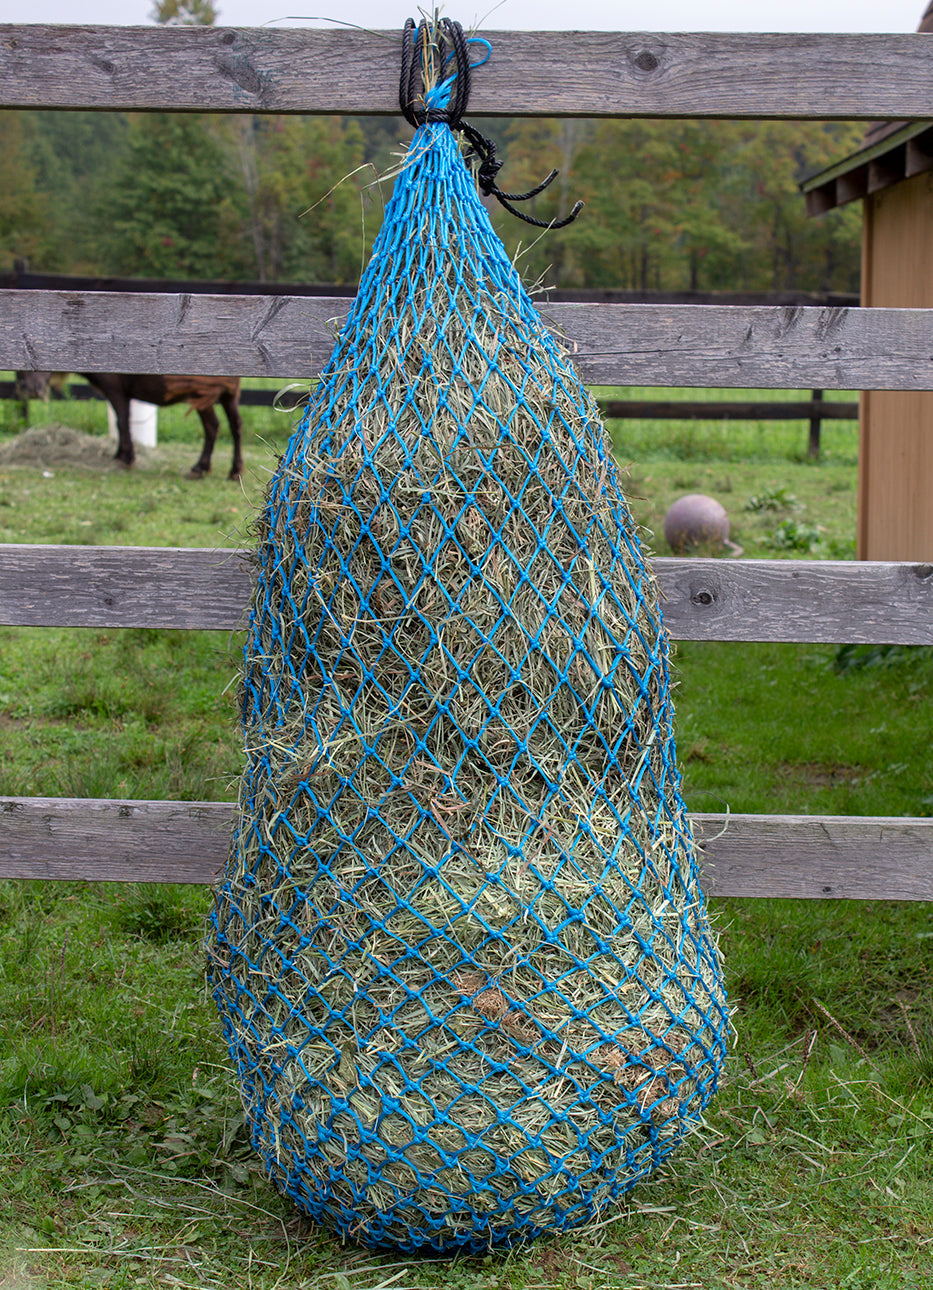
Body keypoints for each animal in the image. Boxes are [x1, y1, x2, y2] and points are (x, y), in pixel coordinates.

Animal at [14, 372, 244, 480]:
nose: (30, 389)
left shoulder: (115, 389)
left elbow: (122, 422)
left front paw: (125, 458)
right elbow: (122, 423)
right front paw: (120, 454)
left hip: (203, 394)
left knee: (213, 426)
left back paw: (202, 468)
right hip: (227, 395)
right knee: (234, 426)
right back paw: (231, 470)